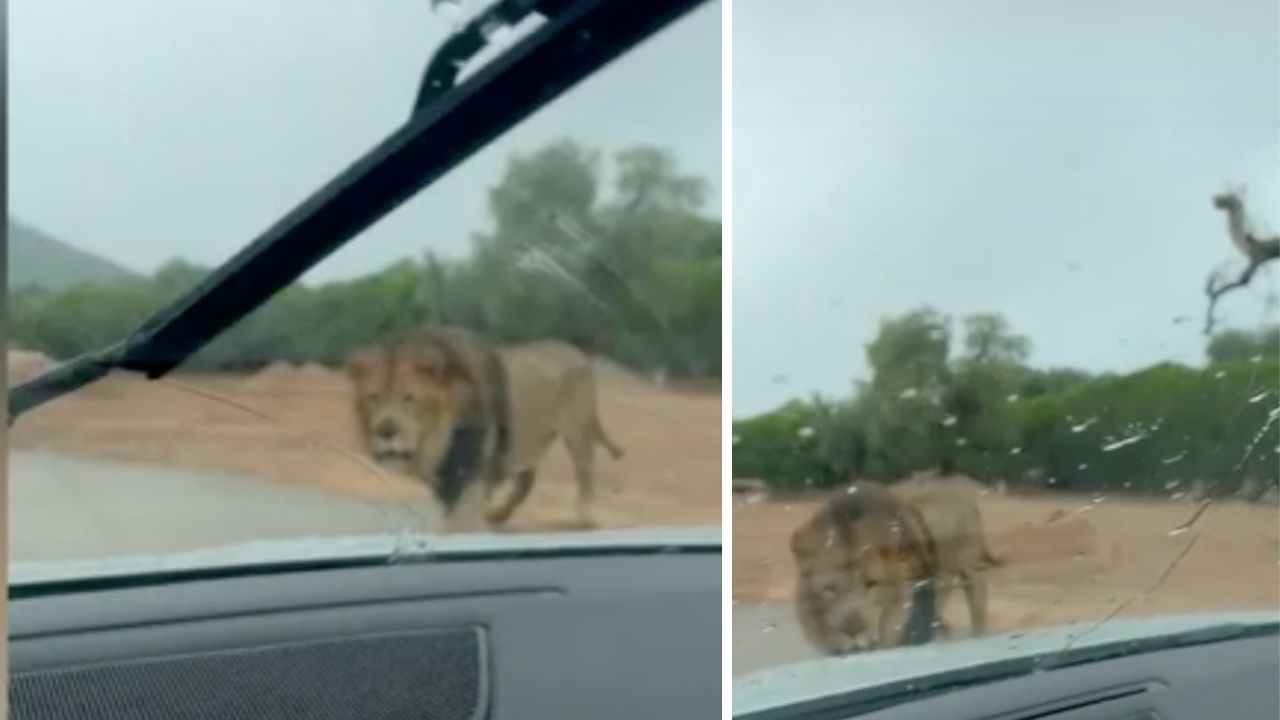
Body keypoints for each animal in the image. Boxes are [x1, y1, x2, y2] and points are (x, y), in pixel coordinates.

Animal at [340, 327, 619, 530]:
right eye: (373, 398)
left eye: (409, 398)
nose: (386, 431)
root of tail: (575, 350)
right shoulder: (449, 483)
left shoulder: (472, 479)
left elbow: (460, 522)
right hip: (530, 442)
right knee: (526, 480)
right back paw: (499, 515)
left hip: (577, 431)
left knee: (585, 473)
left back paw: (585, 518)